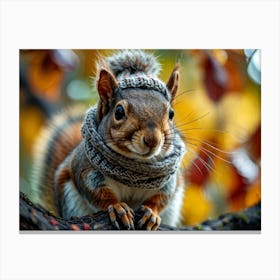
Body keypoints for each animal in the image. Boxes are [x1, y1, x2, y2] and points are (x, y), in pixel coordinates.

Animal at [31, 49, 186, 230]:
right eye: (118, 112)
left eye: (171, 114)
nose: (152, 140)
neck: (134, 169)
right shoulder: (87, 170)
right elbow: (98, 194)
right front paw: (118, 207)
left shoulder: (169, 180)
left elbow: (161, 198)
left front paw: (151, 213)